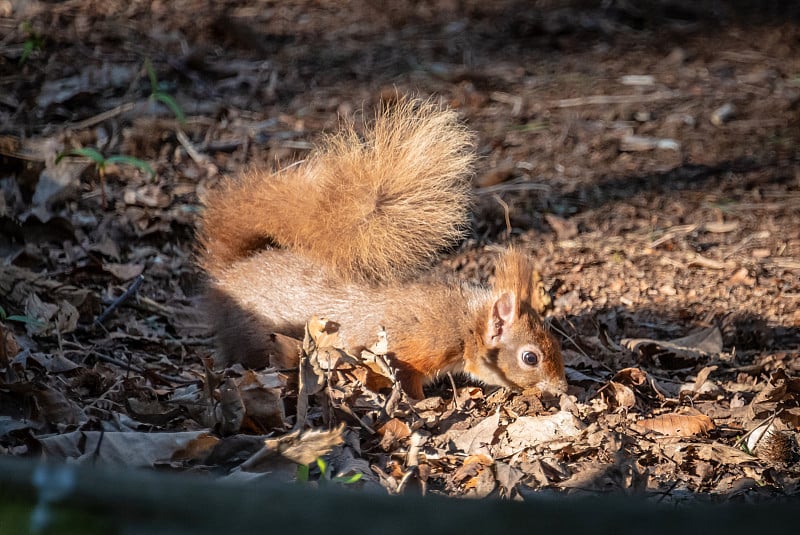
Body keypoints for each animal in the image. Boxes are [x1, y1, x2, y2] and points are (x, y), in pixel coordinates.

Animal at [197, 98, 564, 400]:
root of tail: (231, 272)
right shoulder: (407, 351)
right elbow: (408, 380)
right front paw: (422, 403)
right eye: (530, 357)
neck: (464, 323)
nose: (562, 388)